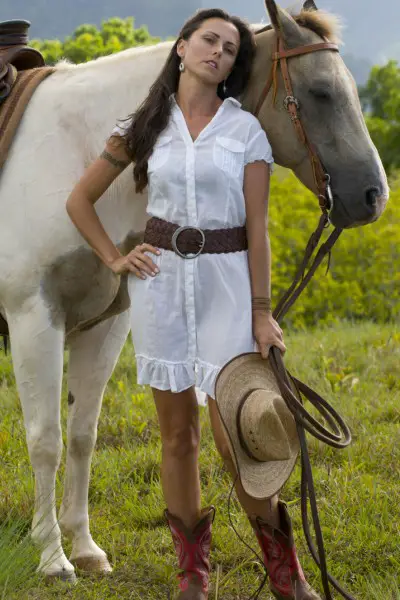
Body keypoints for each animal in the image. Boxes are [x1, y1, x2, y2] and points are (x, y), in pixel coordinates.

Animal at [0, 0, 390, 580]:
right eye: (321, 91)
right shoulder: (34, 318)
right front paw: (52, 556)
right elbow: (46, 439)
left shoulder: (105, 325)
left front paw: (85, 546)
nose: (372, 195)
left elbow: (82, 434)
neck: (71, 150)